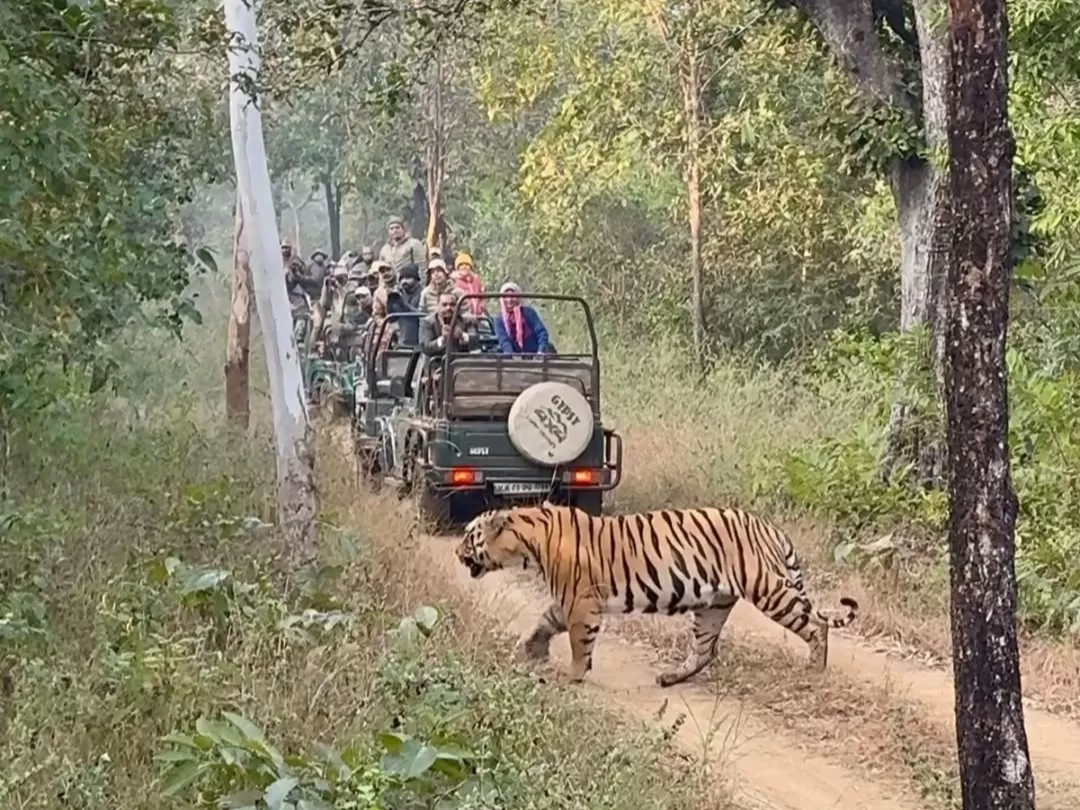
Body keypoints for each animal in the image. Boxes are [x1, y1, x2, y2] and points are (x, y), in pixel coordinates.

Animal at [455, 501, 858, 687]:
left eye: (469, 536)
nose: (456, 553)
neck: (528, 541)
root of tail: (769, 527)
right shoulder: (570, 599)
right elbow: (547, 620)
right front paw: (533, 648)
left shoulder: (582, 601)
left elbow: (578, 642)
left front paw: (572, 676)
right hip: (714, 606)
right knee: (704, 650)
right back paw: (669, 678)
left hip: (768, 589)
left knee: (816, 626)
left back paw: (814, 669)